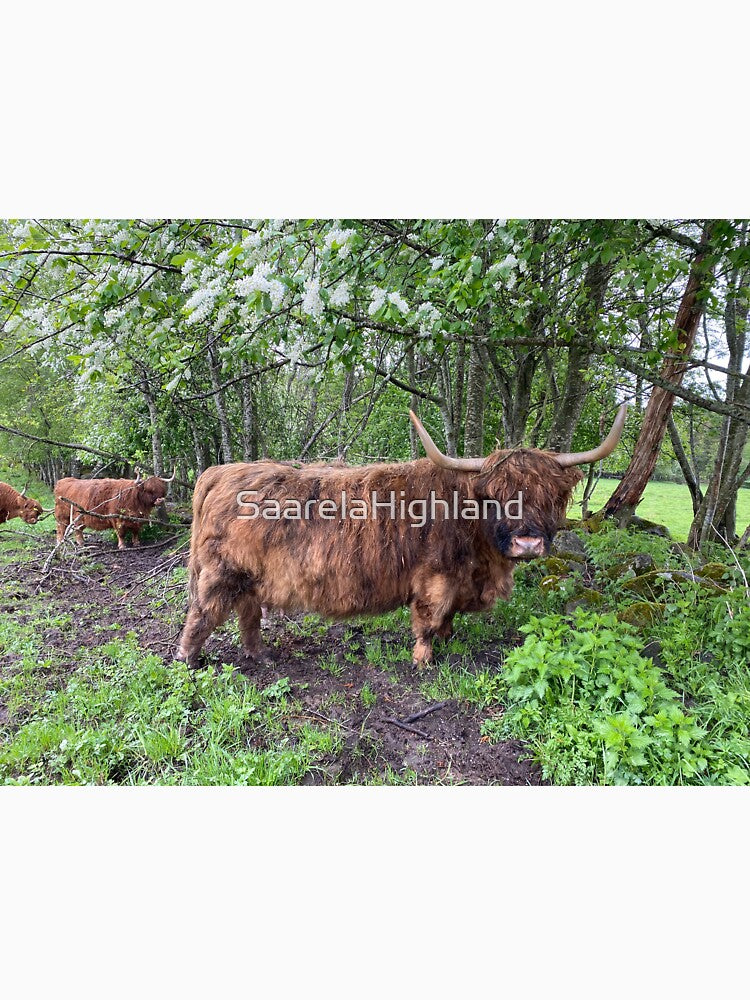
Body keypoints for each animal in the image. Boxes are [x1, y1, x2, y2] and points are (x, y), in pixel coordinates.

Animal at [176, 406, 627, 668]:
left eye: (549, 496)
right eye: (495, 497)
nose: (528, 543)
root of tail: (221, 472)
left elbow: (447, 620)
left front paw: (448, 642)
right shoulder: (435, 578)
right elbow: (428, 618)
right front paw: (424, 661)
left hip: (249, 578)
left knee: (248, 615)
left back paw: (262, 655)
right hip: (219, 573)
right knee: (202, 615)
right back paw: (189, 661)